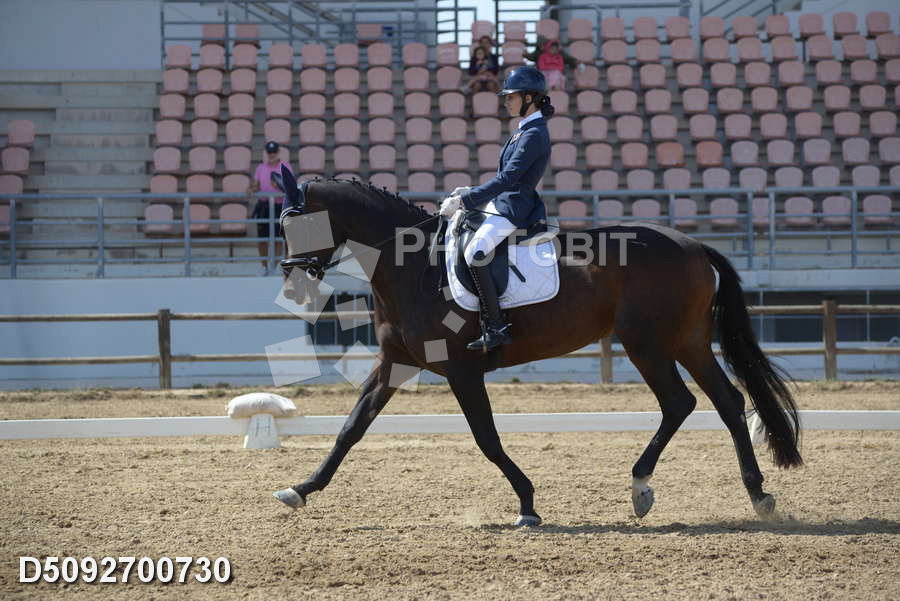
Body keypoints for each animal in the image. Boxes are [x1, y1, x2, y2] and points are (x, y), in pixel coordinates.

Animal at [272, 167, 802, 527]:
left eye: (298, 226)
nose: (294, 289)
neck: (411, 268)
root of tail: (693, 245)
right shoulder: (394, 363)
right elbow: (351, 428)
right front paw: (301, 489)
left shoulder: (462, 370)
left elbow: (487, 439)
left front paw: (527, 504)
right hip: (687, 341)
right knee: (728, 402)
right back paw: (758, 496)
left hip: (647, 344)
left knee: (679, 402)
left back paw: (641, 488)